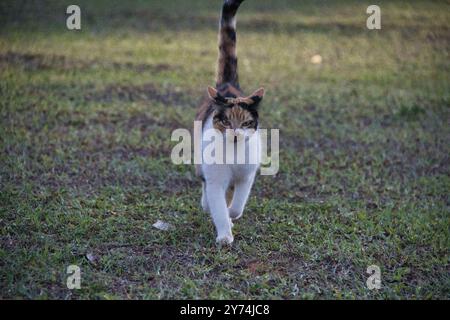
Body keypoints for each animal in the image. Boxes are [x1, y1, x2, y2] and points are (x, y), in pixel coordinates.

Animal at [195, 0, 266, 245]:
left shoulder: (247, 175)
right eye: (225, 122)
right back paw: (205, 204)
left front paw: (233, 214)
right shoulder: (216, 178)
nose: (235, 134)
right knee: (203, 183)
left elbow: (237, 204)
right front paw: (225, 235)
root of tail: (228, 85)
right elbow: (218, 205)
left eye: (245, 123)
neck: (234, 153)